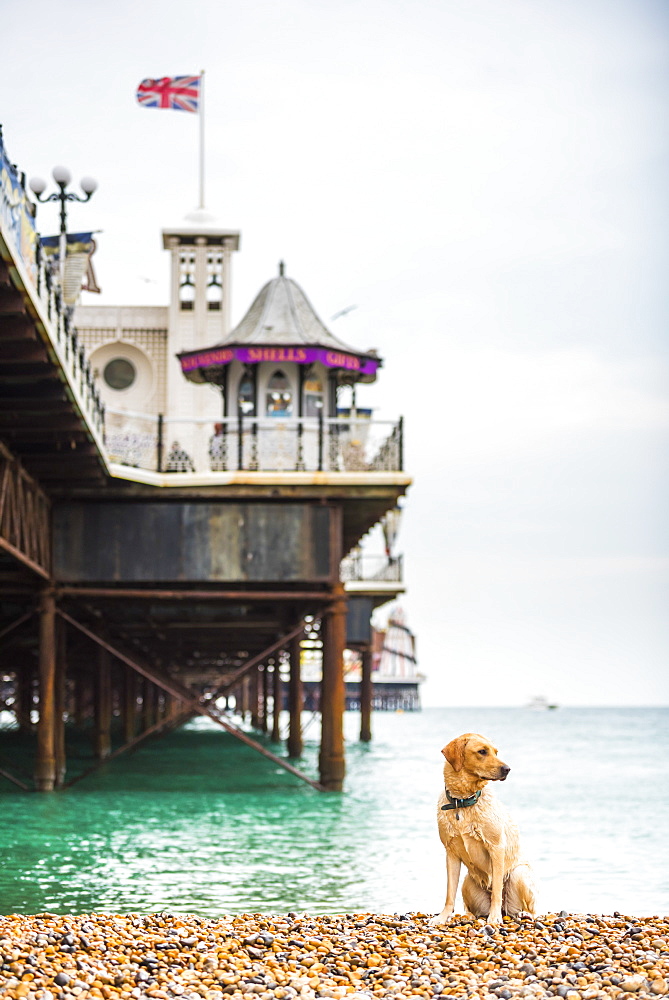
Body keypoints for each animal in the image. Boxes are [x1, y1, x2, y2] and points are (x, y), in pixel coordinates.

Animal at [430, 736, 536, 920]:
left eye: (496, 752)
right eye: (482, 751)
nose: (507, 769)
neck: (462, 802)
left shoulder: (496, 848)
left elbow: (497, 890)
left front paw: (494, 918)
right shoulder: (451, 852)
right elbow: (450, 892)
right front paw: (442, 917)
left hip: (519, 874)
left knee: (528, 909)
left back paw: (522, 914)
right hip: (467, 882)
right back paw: (471, 916)